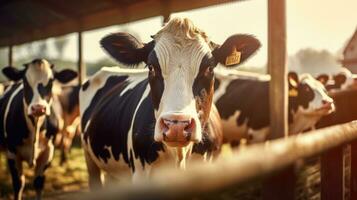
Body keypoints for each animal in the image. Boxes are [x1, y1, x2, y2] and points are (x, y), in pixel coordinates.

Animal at [0, 59, 77, 200]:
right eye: (25, 81)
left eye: (51, 81)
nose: (38, 108)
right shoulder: (12, 152)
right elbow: (18, 183)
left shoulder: (48, 152)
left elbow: (38, 183)